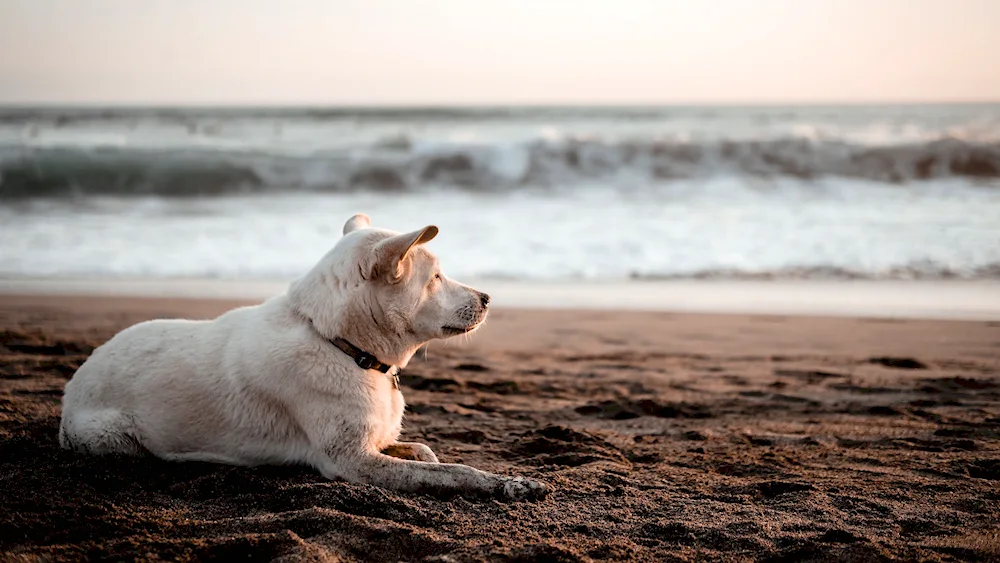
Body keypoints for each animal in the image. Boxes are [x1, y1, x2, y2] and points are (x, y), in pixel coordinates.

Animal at [60, 214, 548, 500]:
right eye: (437, 277)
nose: (487, 298)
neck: (343, 346)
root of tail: (73, 386)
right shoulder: (351, 460)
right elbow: (456, 472)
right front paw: (510, 484)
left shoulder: (370, 443)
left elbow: (426, 454)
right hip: (112, 437)